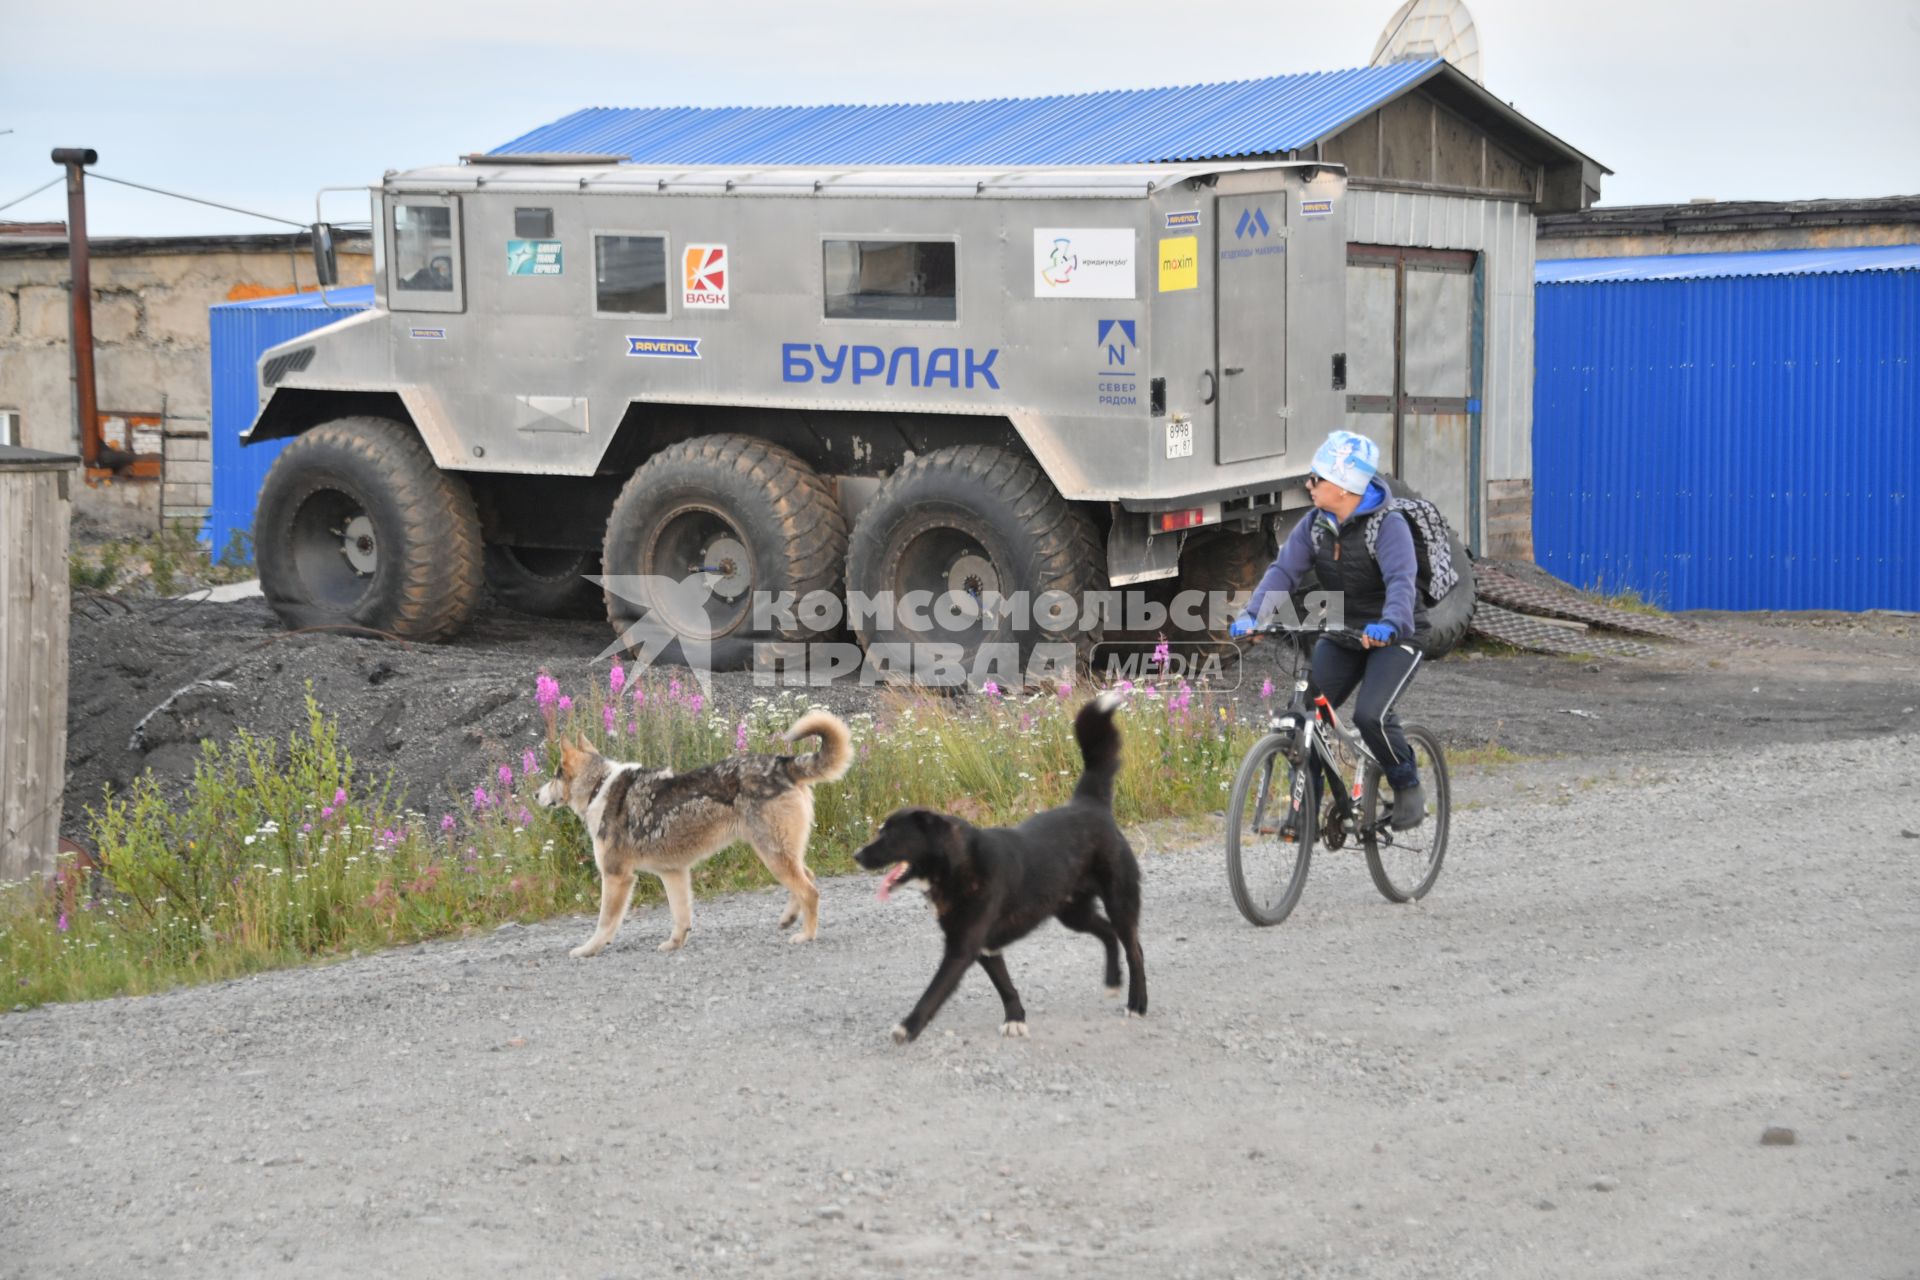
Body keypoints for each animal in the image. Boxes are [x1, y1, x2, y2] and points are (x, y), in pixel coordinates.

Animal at [533, 717, 848, 955]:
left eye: (555, 775)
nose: (535, 794)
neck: (599, 787)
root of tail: (783, 762)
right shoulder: (673, 873)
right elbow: (681, 917)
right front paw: (674, 944)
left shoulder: (616, 876)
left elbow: (604, 923)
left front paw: (588, 949)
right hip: (779, 854)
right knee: (808, 878)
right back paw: (788, 919)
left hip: (772, 855)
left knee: (810, 891)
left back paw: (806, 935)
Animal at [852, 690, 1136, 1043]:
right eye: (880, 831)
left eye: (890, 835)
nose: (857, 856)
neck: (957, 864)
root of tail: (1090, 804)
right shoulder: (984, 946)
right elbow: (1005, 985)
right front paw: (1016, 1018)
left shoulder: (962, 948)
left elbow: (933, 992)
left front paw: (909, 1026)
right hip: (1072, 911)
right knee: (1107, 932)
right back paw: (1113, 980)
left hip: (1119, 901)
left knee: (1134, 949)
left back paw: (1138, 1003)